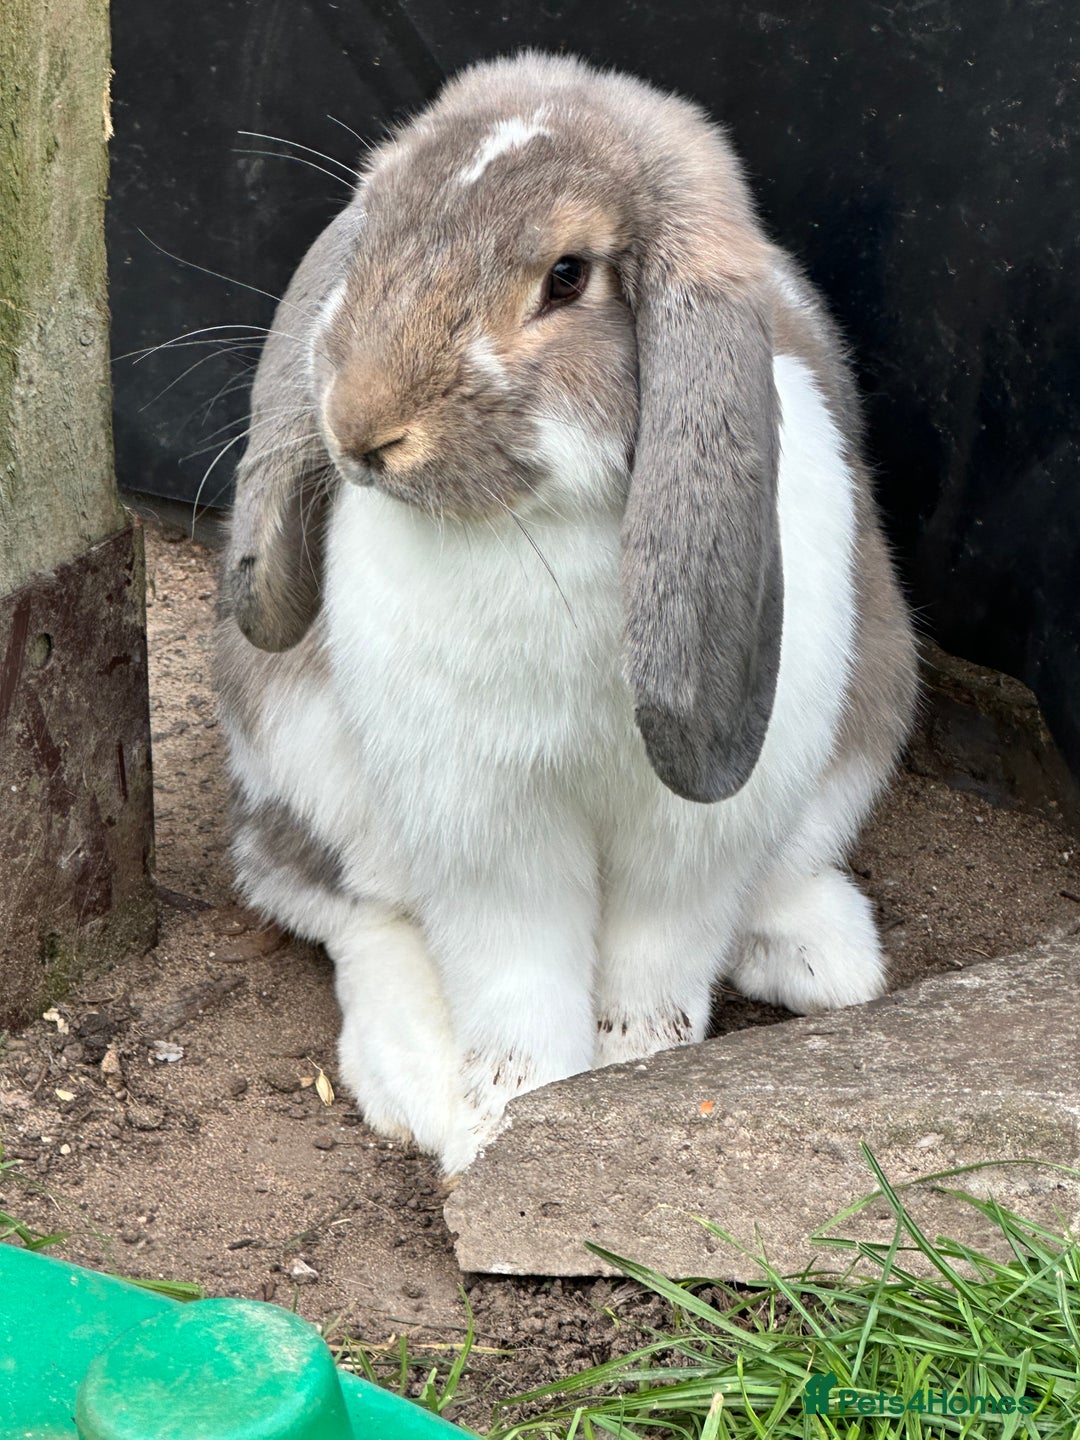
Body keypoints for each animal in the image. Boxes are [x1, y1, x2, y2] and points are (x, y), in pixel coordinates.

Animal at [214, 51, 918, 1175]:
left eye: (567, 276)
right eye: (374, 228)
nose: (361, 428)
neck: (542, 524)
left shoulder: (694, 836)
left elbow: (656, 966)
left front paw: (630, 1081)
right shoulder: (484, 821)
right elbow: (518, 979)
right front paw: (506, 1120)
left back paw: (824, 957)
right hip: (309, 772)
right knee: (338, 903)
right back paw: (418, 1081)